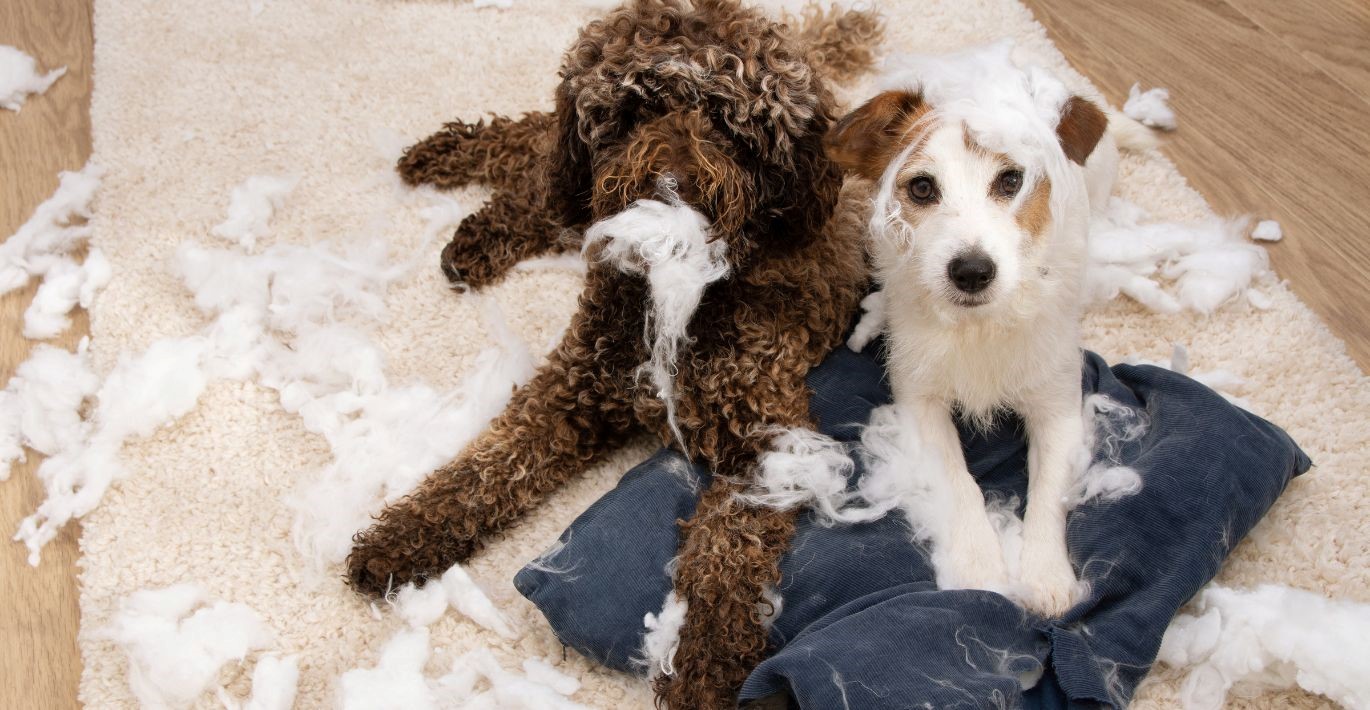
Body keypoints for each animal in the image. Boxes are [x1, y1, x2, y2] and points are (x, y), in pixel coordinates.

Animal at [347, 2, 882, 707]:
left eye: (726, 121)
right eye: (632, 111)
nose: (670, 182)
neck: (677, 295)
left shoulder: (769, 444)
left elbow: (726, 562)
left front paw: (703, 668)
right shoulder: (572, 390)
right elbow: (486, 469)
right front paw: (401, 537)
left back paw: (473, 226)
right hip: (571, 182)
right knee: (536, 149)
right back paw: (452, 174)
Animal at [827, 43, 1139, 616]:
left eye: (1011, 181)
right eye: (922, 187)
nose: (971, 271)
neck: (977, 326)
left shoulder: (1057, 407)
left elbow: (1049, 492)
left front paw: (1045, 574)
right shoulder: (920, 399)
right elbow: (958, 480)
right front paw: (978, 564)